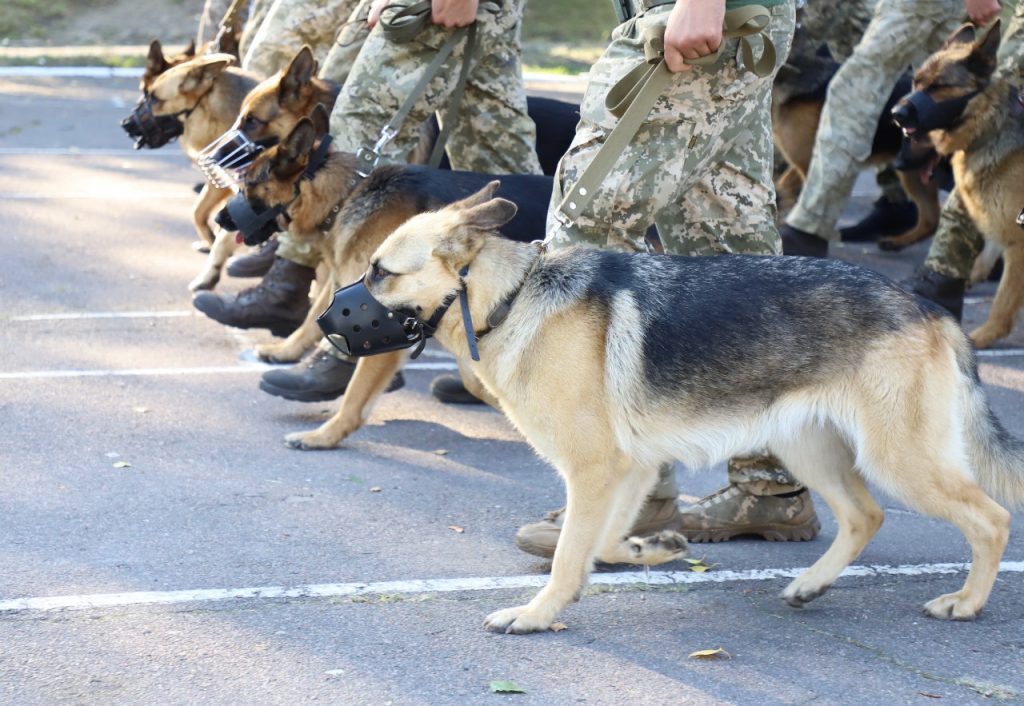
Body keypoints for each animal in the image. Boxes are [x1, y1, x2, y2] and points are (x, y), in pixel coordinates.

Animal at [123, 51, 260, 288]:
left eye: (154, 98)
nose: (125, 124)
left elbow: (222, 235)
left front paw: (208, 276)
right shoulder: (223, 183)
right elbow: (198, 212)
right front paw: (210, 240)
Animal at [216, 114, 552, 448]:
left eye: (247, 184)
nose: (219, 219)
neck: (345, 196)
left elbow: (355, 393)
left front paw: (324, 436)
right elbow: (313, 317)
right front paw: (287, 351)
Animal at [346, 183, 1024, 635]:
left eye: (380, 273)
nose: (328, 319)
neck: (511, 297)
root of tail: (927, 308)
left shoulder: (594, 471)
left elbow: (568, 557)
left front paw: (537, 615)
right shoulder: (629, 471)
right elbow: (604, 539)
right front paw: (653, 549)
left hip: (898, 460)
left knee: (990, 519)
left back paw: (967, 602)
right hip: (810, 451)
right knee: (865, 516)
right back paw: (811, 584)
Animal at [892, 23, 1024, 348]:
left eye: (939, 87)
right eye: (916, 81)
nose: (895, 115)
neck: (992, 127)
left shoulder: (1018, 243)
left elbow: (1003, 300)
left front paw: (983, 336)